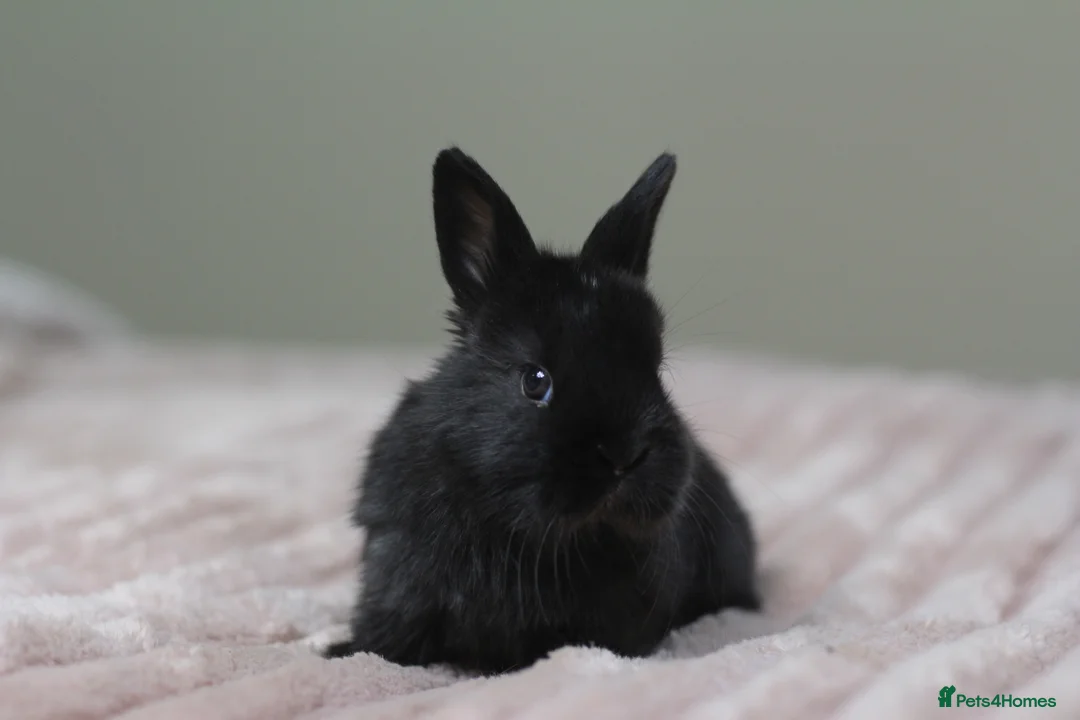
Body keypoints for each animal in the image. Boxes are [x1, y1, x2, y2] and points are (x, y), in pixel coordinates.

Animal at [323, 147, 760, 675]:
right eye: (535, 380)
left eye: (656, 370)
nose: (624, 456)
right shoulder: (398, 581)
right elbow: (388, 640)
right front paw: (341, 651)